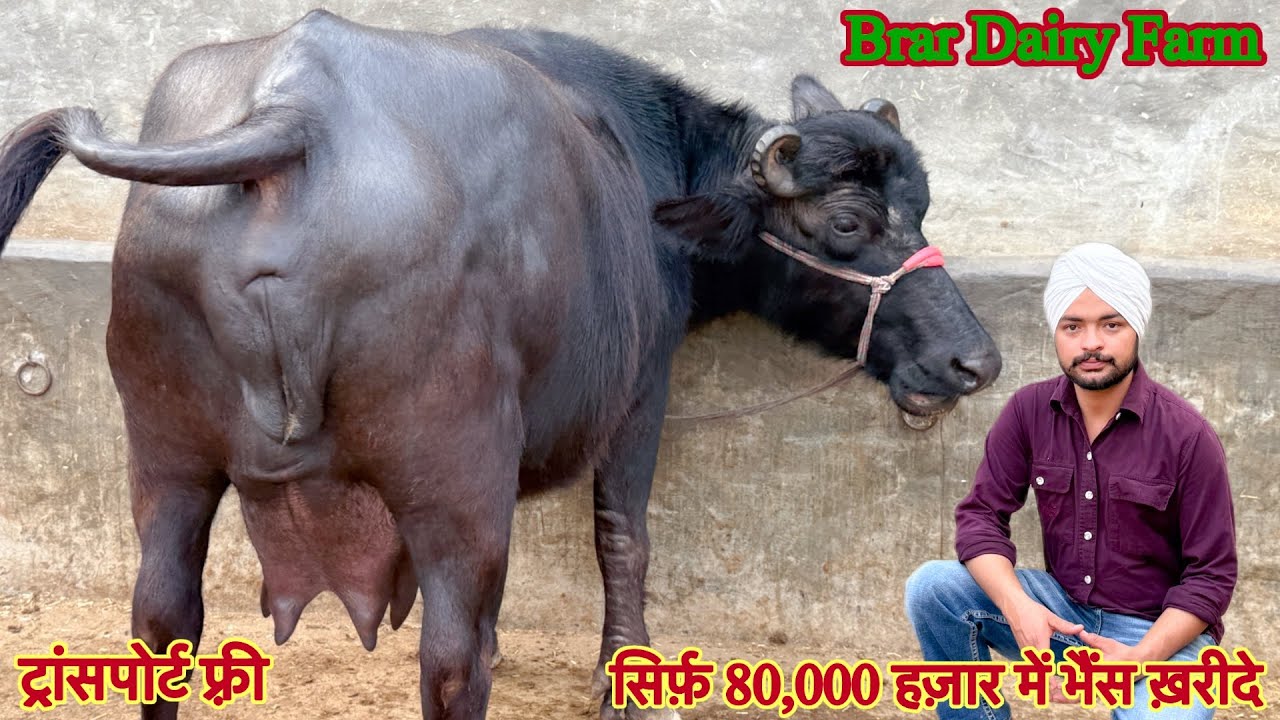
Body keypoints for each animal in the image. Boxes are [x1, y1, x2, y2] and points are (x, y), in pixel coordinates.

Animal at [0, 10, 1000, 719]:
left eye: (921, 204)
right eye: (849, 224)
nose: (975, 360)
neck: (652, 171)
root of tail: (297, 115)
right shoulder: (641, 391)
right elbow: (622, 537)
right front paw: (622, 679)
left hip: (165, 454)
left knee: (163, 620)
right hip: (450, 473)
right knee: (450, 658)